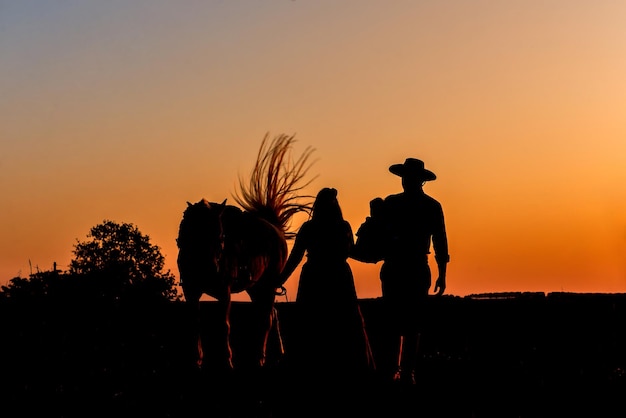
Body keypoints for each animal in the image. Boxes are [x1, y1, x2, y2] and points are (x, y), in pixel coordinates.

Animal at [176, 134, 314, 372]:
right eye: (194, 233)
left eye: (221, 235)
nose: (211, 268)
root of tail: (274, 227)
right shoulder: (191, 290)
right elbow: (195, 323)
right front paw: (196, 360)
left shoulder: (224, 292)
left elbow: (224, 325)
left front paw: (226, 361)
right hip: (255, 288)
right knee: (269, 314)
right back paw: (274, 356)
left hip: (266, 286)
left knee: (266, 319)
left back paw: (259, 358)